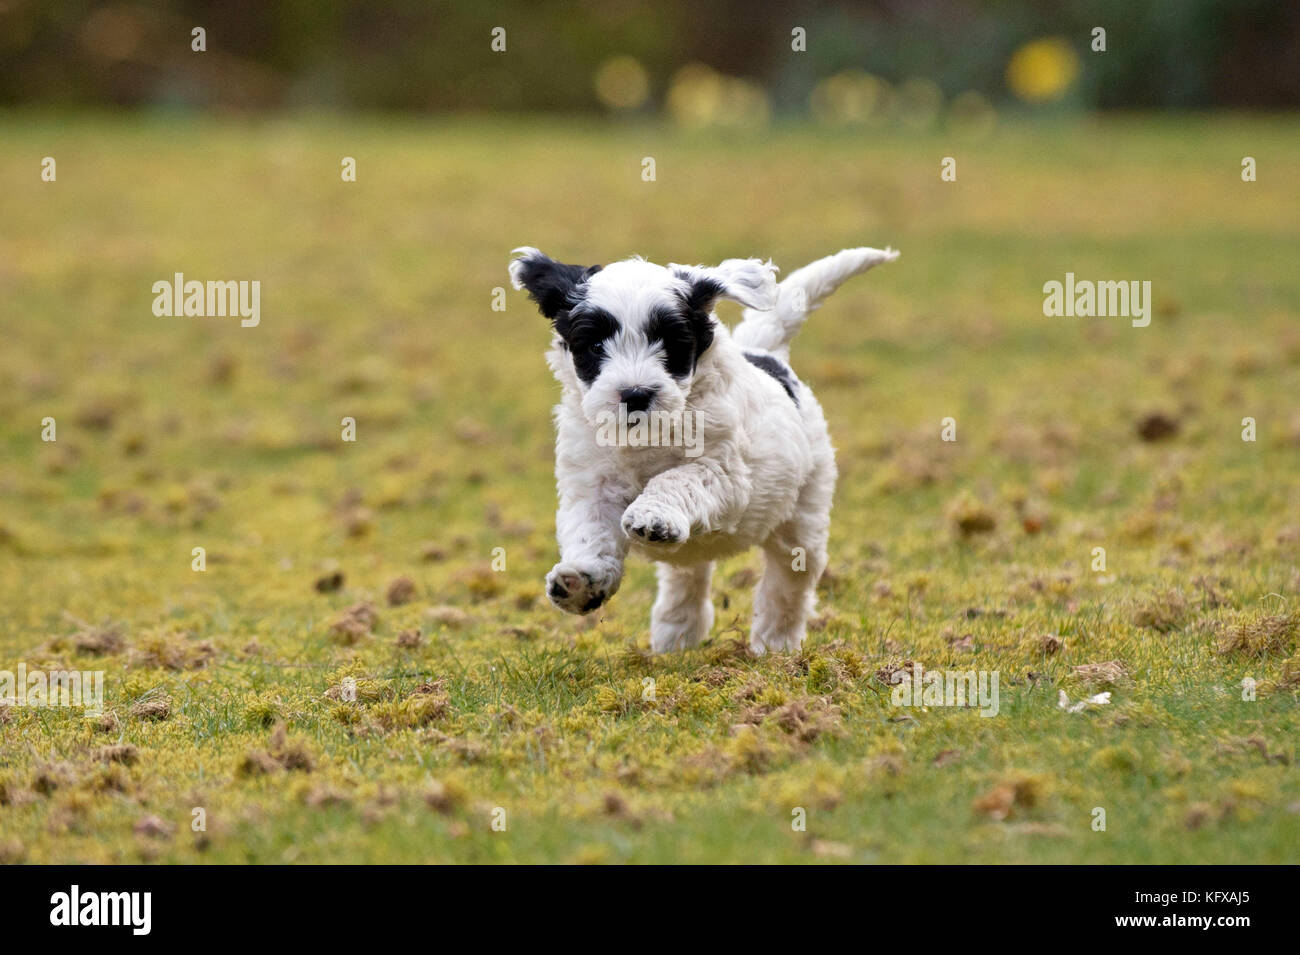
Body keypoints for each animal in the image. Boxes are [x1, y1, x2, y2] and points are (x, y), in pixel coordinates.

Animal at [506, 244, 894, 657]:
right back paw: (676, 634)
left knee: (789, 579)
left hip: (805, 510)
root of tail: (765, 353)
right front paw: (582, 581)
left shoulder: (725, 471)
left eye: (670, 343)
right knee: (687, 577)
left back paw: (775, 645)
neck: (646, 438)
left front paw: (652, 513)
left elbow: (677, 478)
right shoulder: (591, 484)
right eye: (595, 346)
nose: (636, 395)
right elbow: (590, 531)